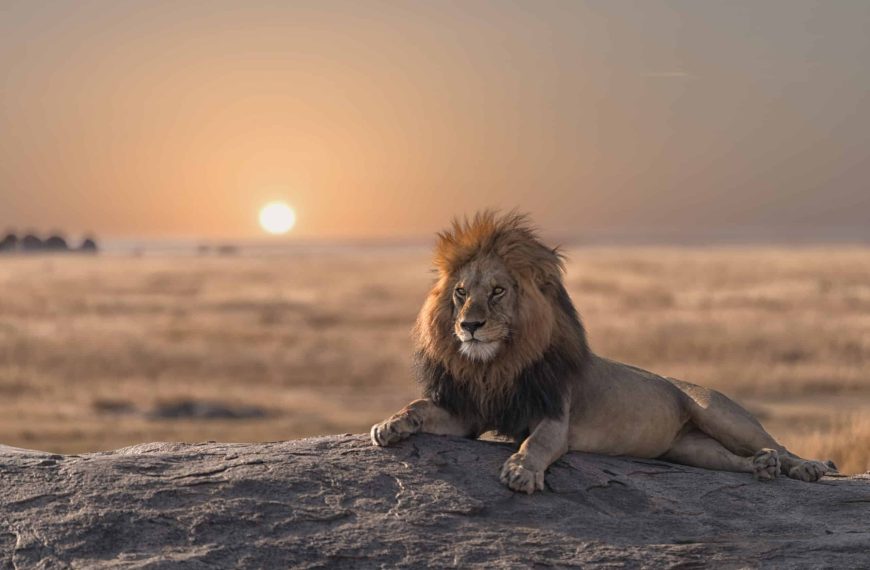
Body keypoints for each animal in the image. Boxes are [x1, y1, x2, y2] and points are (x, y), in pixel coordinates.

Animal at [370, 211, 831, 493]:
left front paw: (521, 471)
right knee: (733, 460)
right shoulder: (468, 413)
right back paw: (761, 468)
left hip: (720, 413)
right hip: (689, 449)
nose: (469, 325)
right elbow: (419, 406)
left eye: (498, 291)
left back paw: (805, 467)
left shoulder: (554, 416)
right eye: (462, 293)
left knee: (776, 444)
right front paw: (390, 425)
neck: (497, 364)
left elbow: (535, 443)